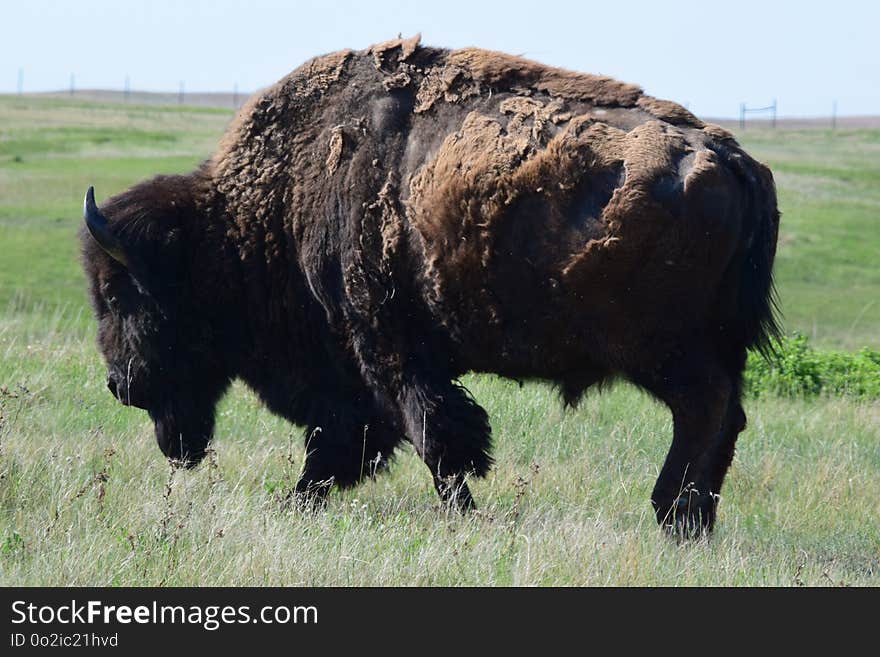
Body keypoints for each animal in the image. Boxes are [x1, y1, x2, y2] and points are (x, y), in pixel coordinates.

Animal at [81, 36, 776, 532]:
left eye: (120, 293)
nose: (119, 384)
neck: (258, 218)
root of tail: (733, 159)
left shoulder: (386, 347)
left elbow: (434, 435)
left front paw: (461, 517)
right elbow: (362, 443)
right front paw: (296, 503)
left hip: (660, 351)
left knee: (704, 412)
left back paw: (672, 516)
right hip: (709, 348)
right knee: (727, 417)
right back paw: (691, 520)